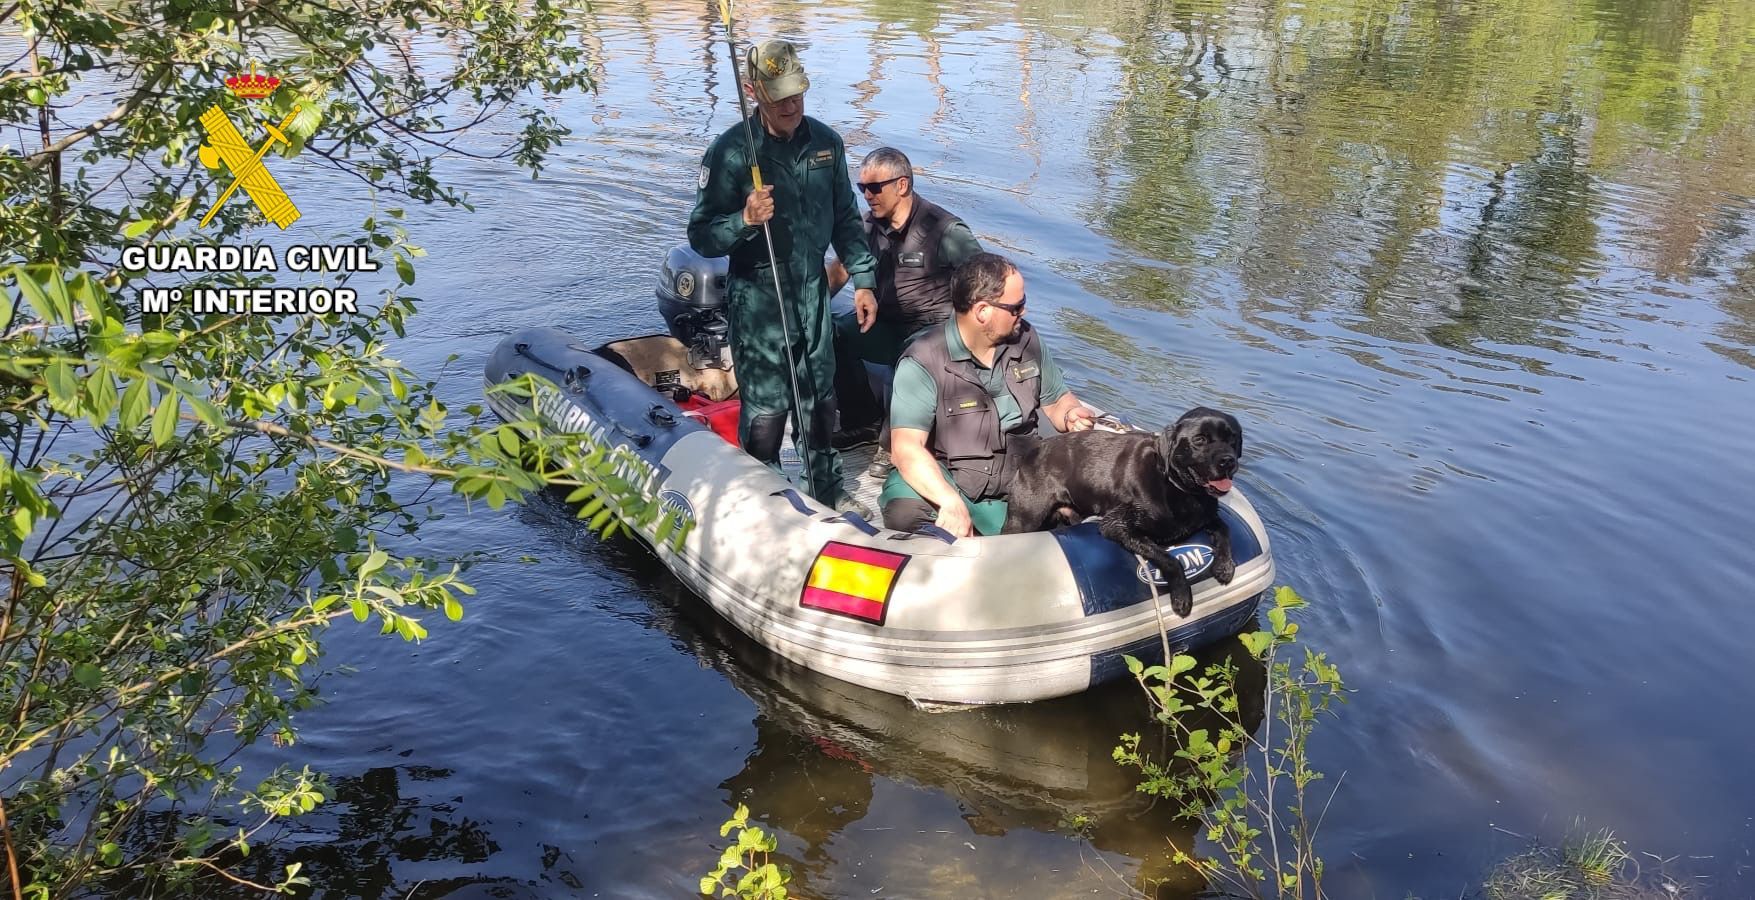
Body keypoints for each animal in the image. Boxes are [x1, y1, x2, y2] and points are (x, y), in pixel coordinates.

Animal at [1010, 407, 1242, 617]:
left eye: (1233, 438)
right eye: (1200, 439)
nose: (1228, 461)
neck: (1176, 486)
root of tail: (1035, 450)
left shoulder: (1207, 516)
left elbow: (1224, 529)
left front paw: (1225, 565)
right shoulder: (1117, 525)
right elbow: (1169, 558)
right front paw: (1182, 595)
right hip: (1024, 521)